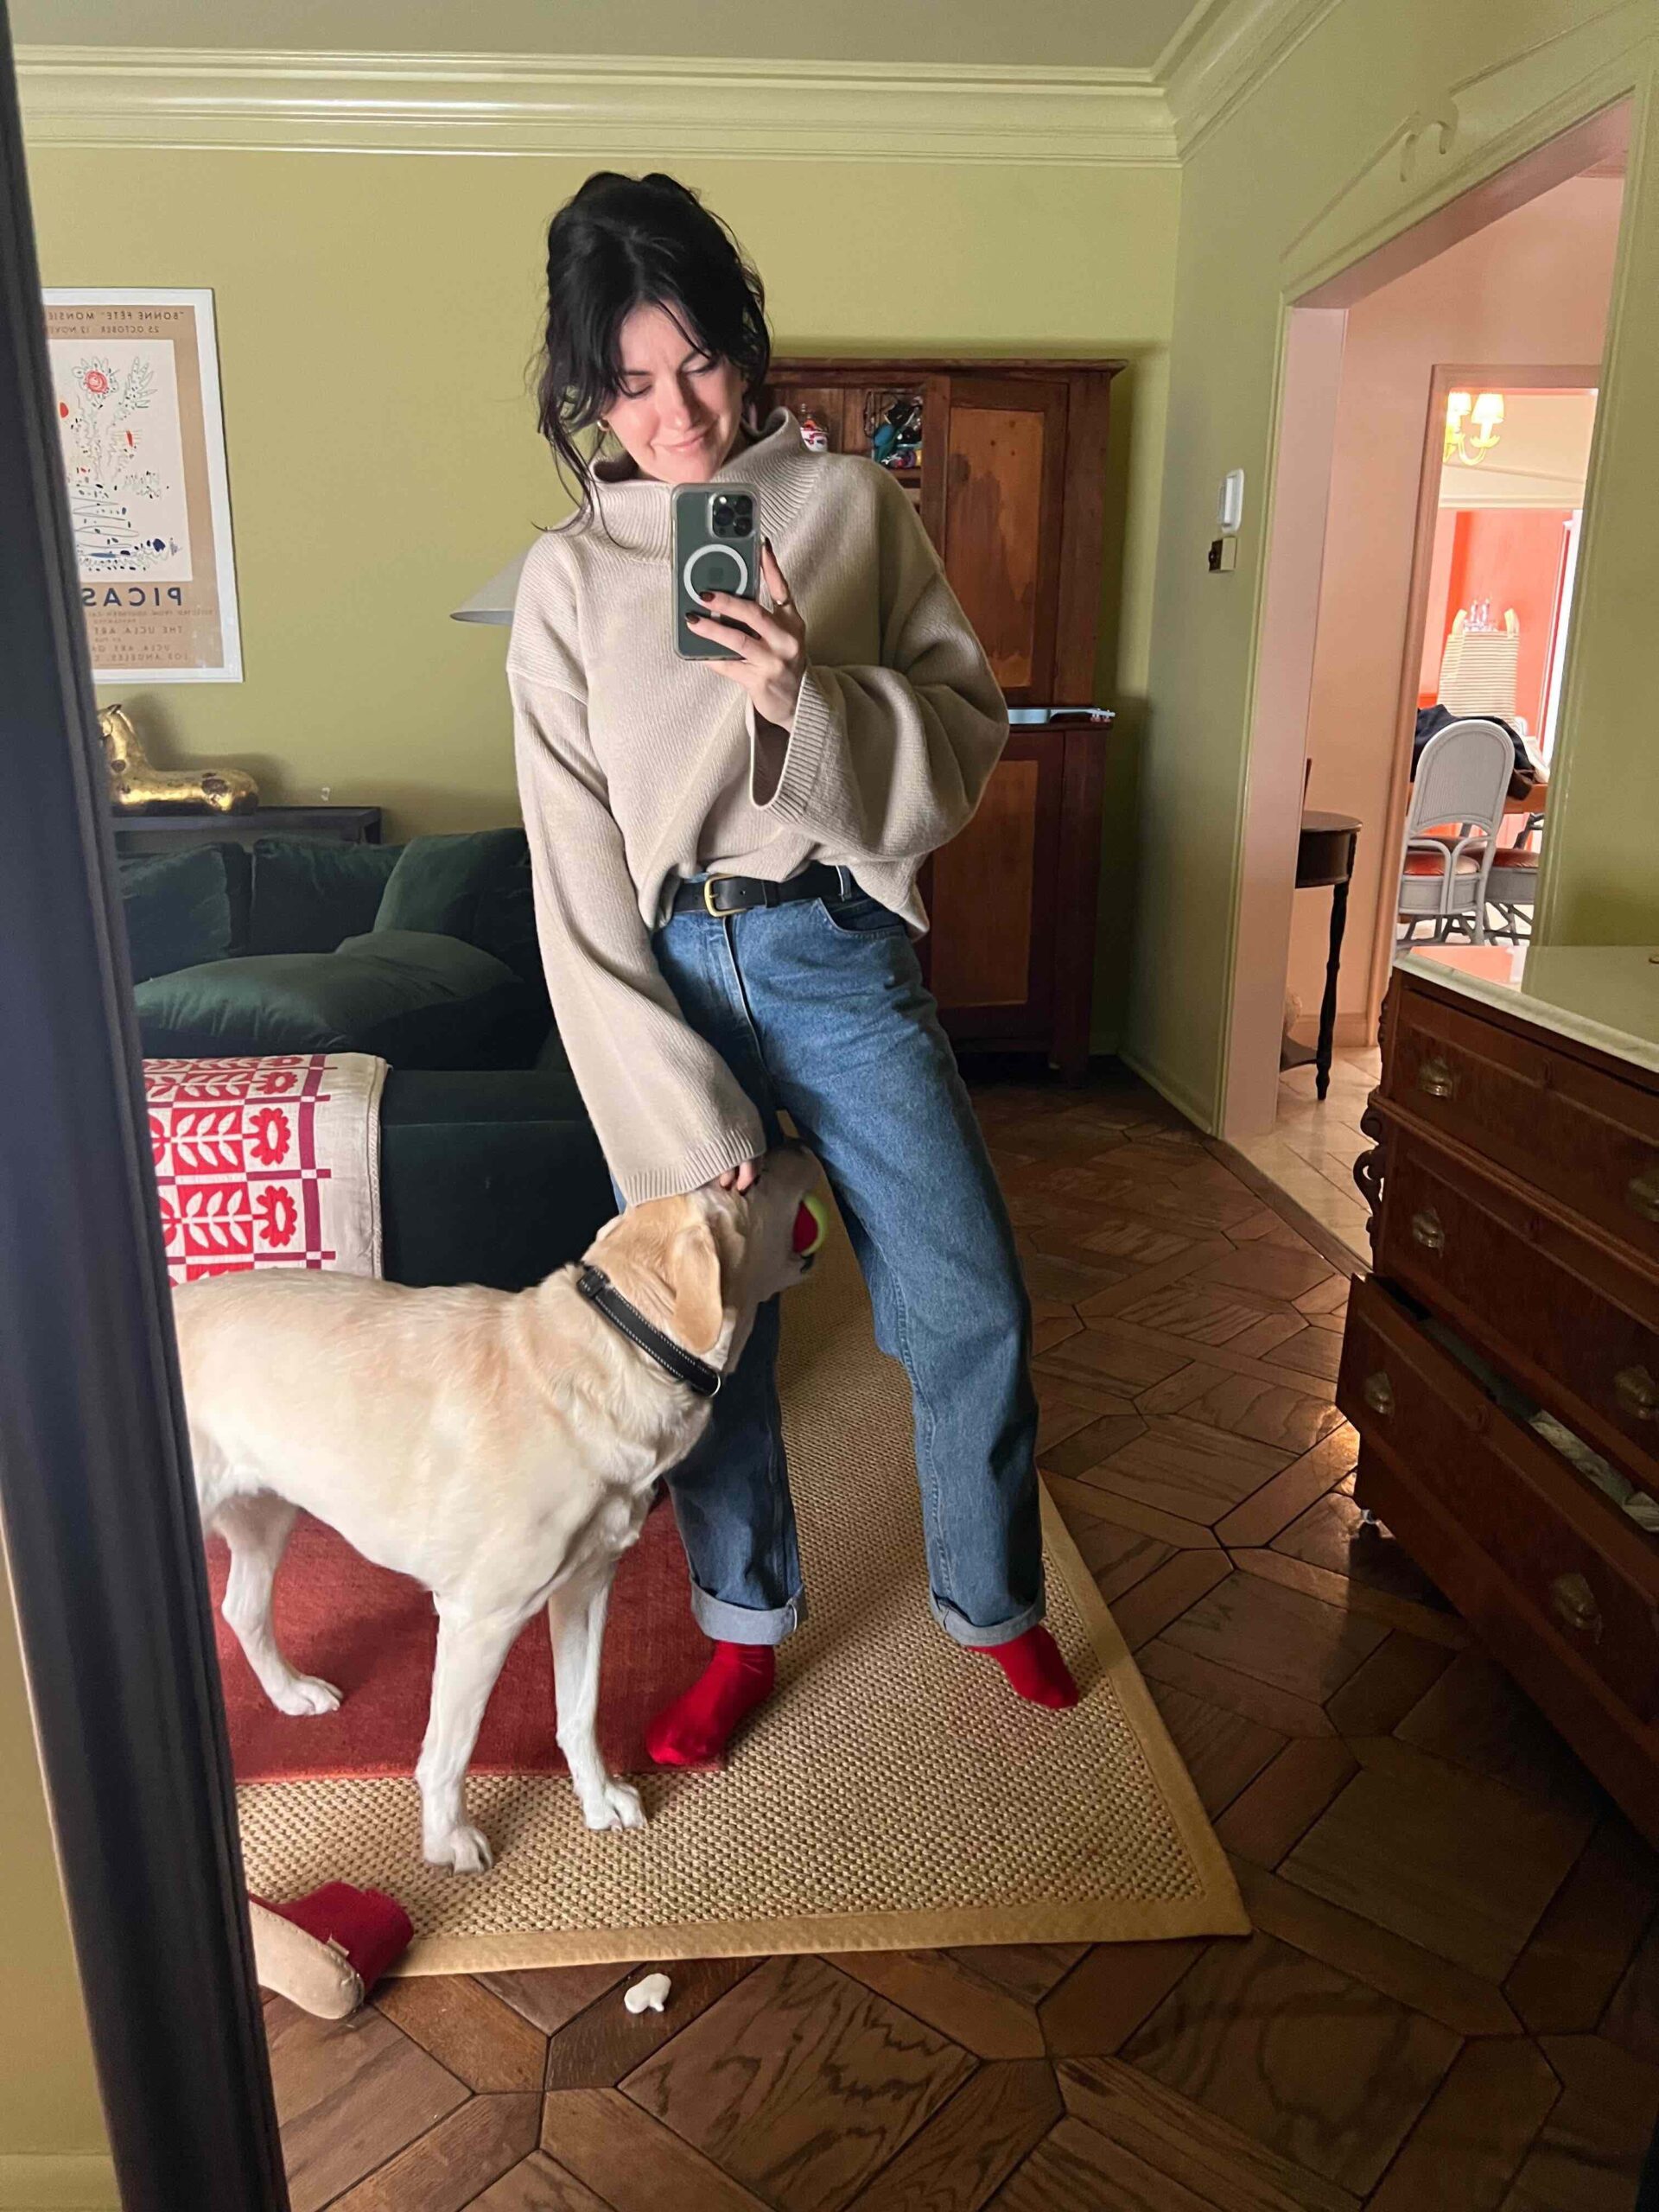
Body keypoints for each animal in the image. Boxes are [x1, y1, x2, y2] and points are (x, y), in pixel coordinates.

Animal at [173, 1141, 827, 1866]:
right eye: (752, 1180)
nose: (800, 1143)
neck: (625, 1343)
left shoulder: (586, 1588)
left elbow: (579, 1710)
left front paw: (598, 1799)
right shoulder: (478, 1618)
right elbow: (451, 1749)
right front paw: (448, 1840)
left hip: (268, 1509)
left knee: (243, 1608)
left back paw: (291, 1692)